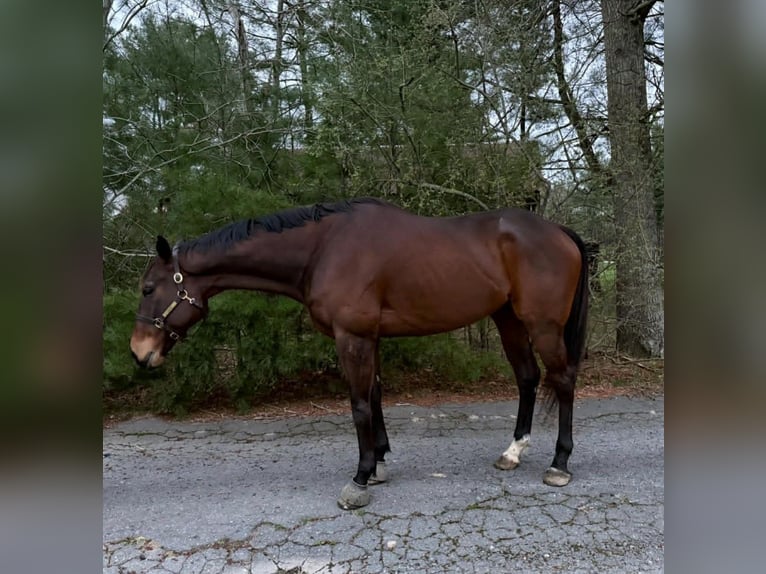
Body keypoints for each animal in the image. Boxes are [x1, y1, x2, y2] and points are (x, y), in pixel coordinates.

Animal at [130, 198, 589, 510]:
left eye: (149, 288)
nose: (138, 352)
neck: (323, 249)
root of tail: (558, 231)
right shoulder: (371, 338)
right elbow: (375, 396)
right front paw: (380, 463)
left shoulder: (352, 337)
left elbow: (358, 405)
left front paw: (361, 477)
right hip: (508, 320)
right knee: (528, 378)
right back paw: (512, 452)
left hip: (543, 325)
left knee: (563, 380)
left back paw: (560, 464)